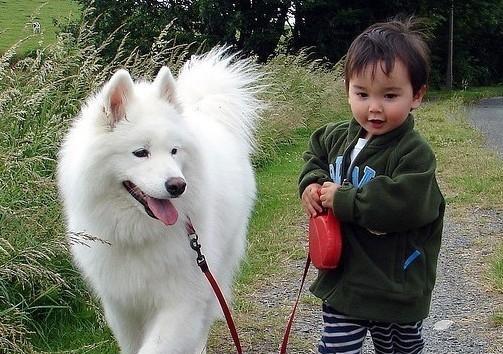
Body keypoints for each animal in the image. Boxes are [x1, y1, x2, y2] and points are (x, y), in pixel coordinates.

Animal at [58, 49, 264, 354]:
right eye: (140, 152)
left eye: (174, 151)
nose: (177, 186)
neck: (137, 233)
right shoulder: (122, 306)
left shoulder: (181, 301)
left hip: (214, 270)